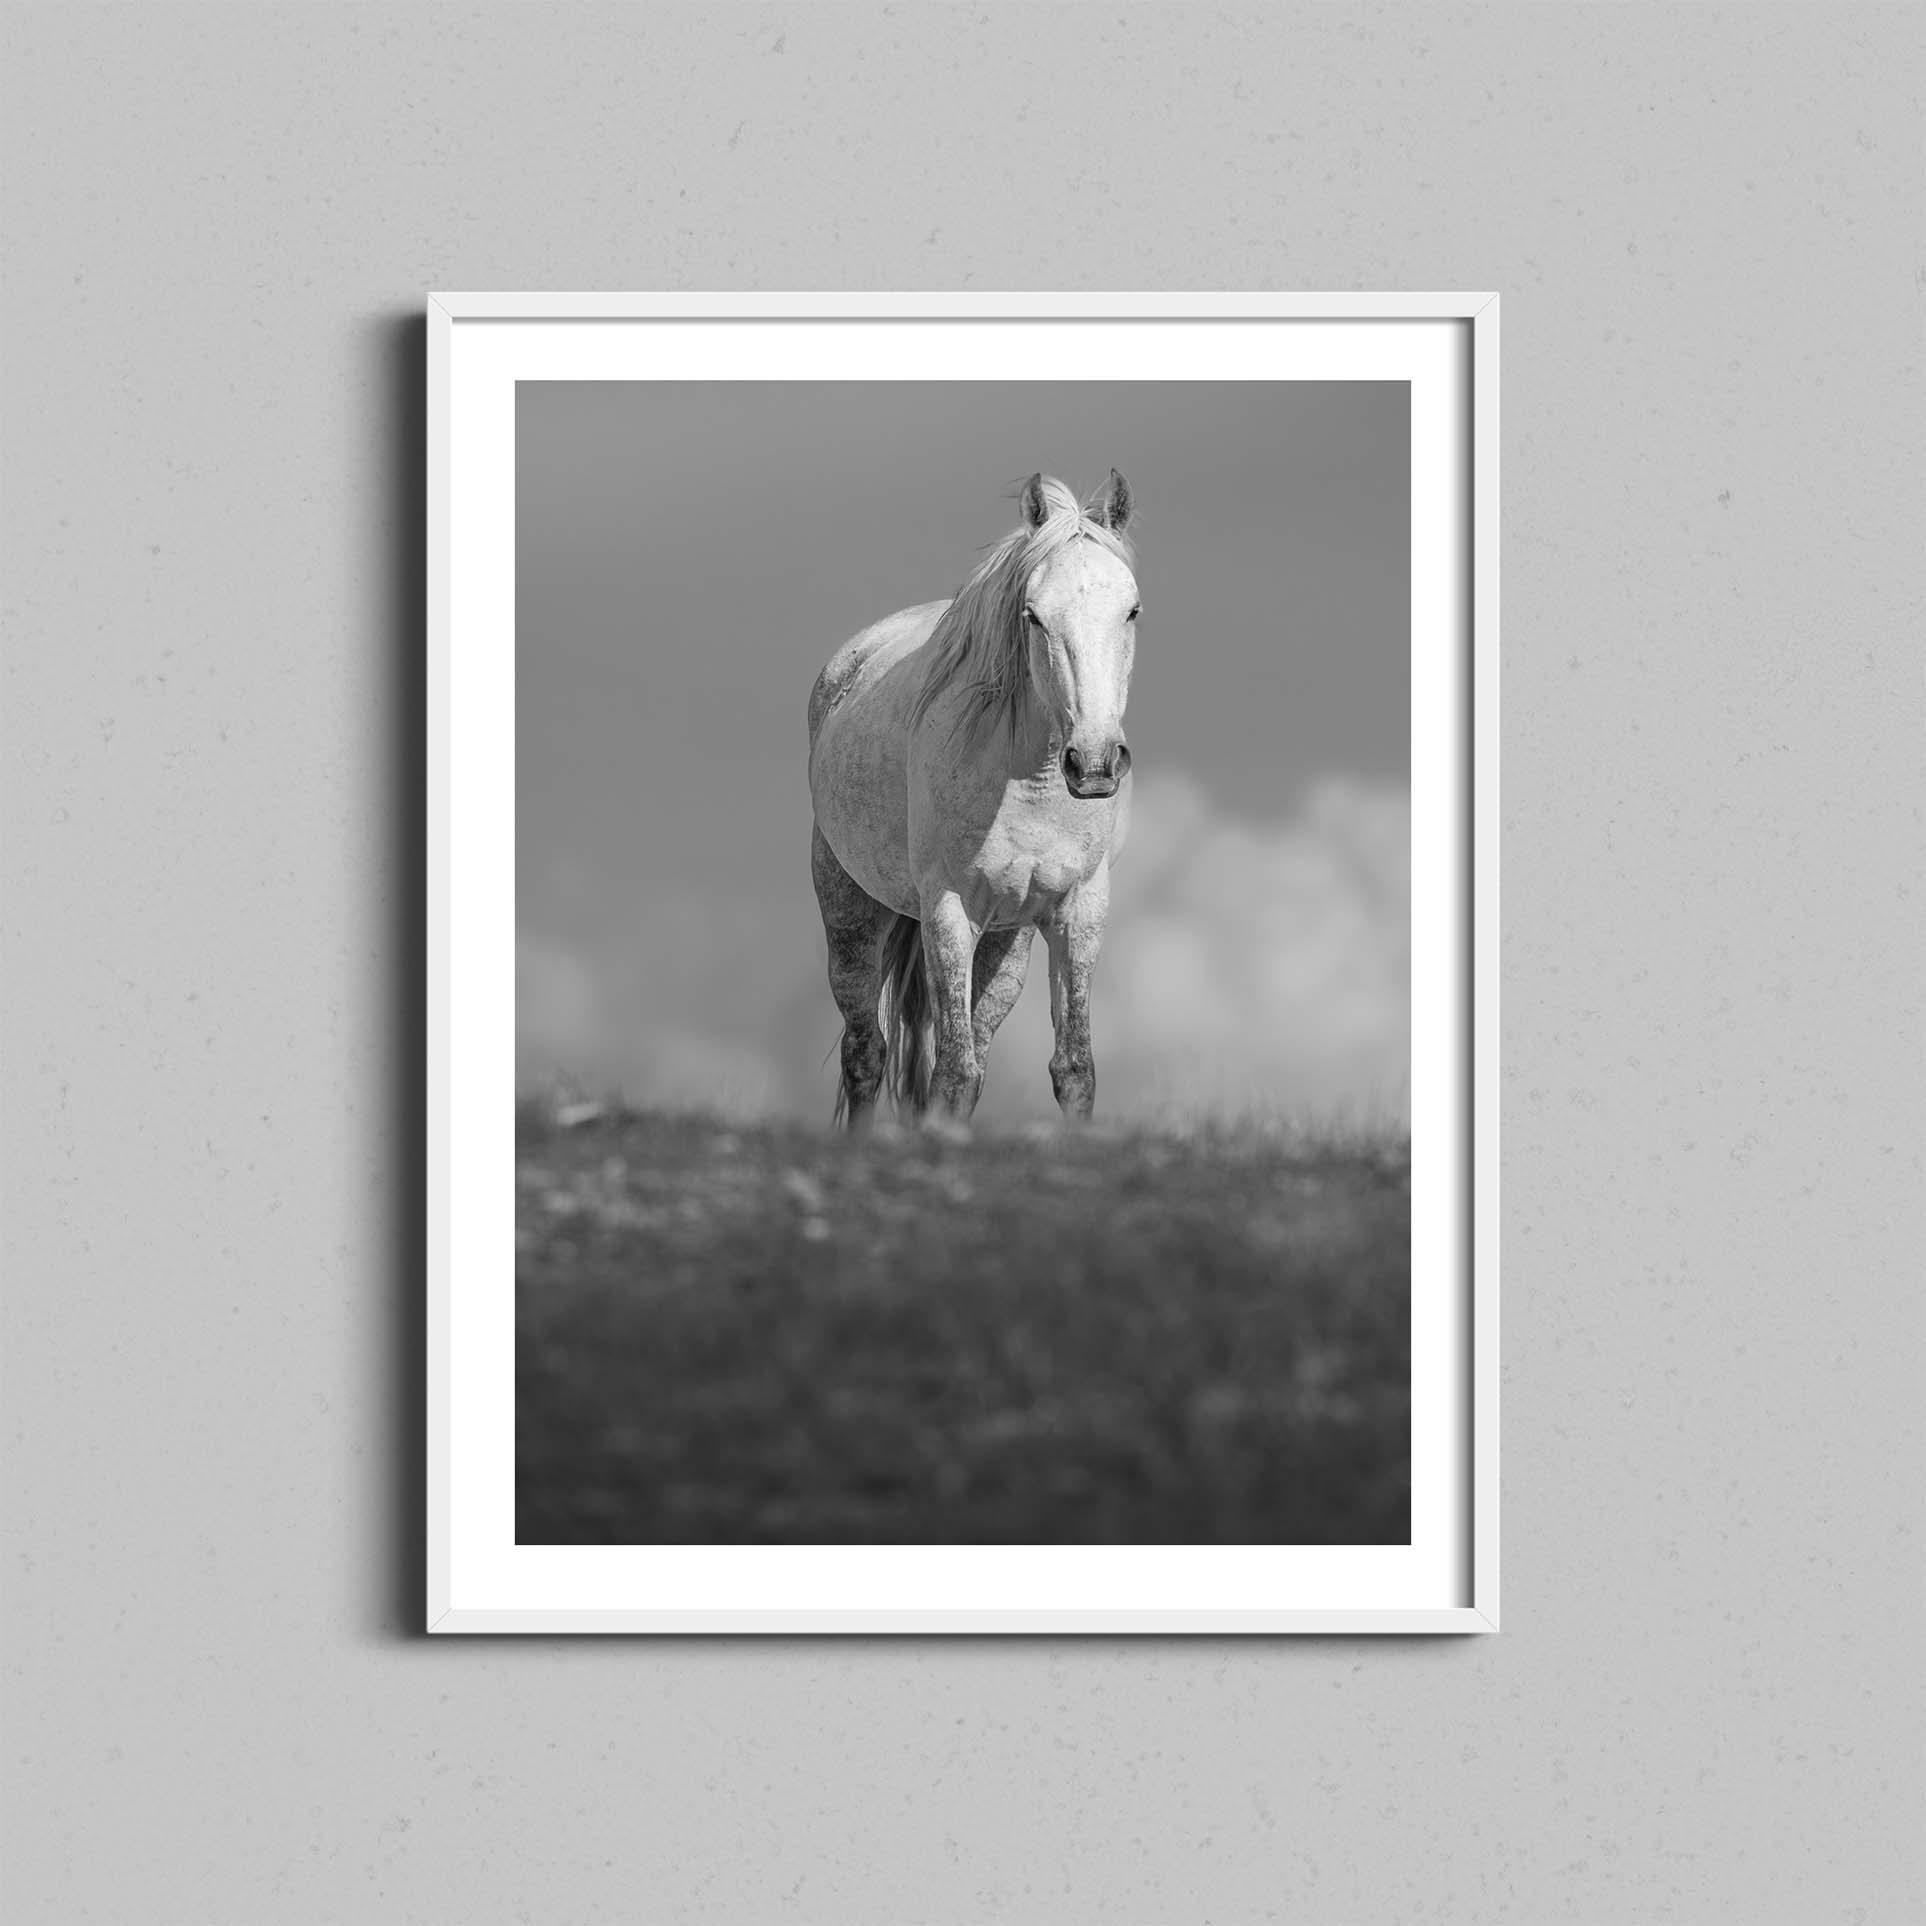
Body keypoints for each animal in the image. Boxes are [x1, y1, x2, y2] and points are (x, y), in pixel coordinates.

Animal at [807, 470, 1139, 1127]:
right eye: (1033, 616)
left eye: (1132, 610)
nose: (1094, 763)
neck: (1029, 779)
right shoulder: (948, 909)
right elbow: (954, 1075)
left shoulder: (1079, 910)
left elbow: (1074, 1069)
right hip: (851, 912)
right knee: (866, 1052)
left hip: (1007, 941)